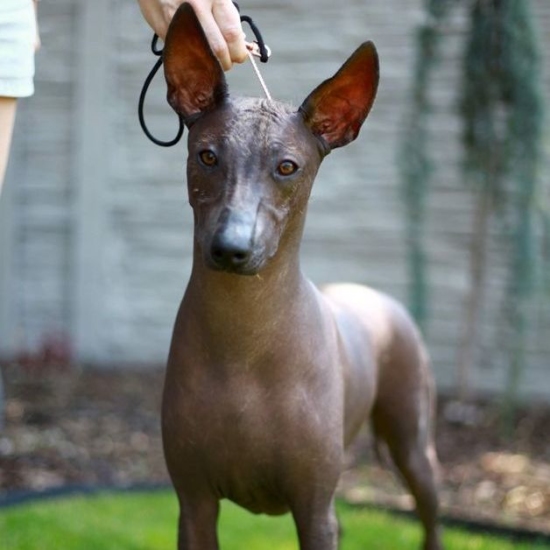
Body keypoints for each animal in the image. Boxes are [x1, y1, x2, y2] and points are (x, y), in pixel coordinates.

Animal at [161, 5, 444, 550]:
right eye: (207, 155)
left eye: (287, 167)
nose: (231, 247)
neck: (243, 345)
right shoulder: (194, 505)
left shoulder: (312, 509)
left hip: (412, 442)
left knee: (429, 512)